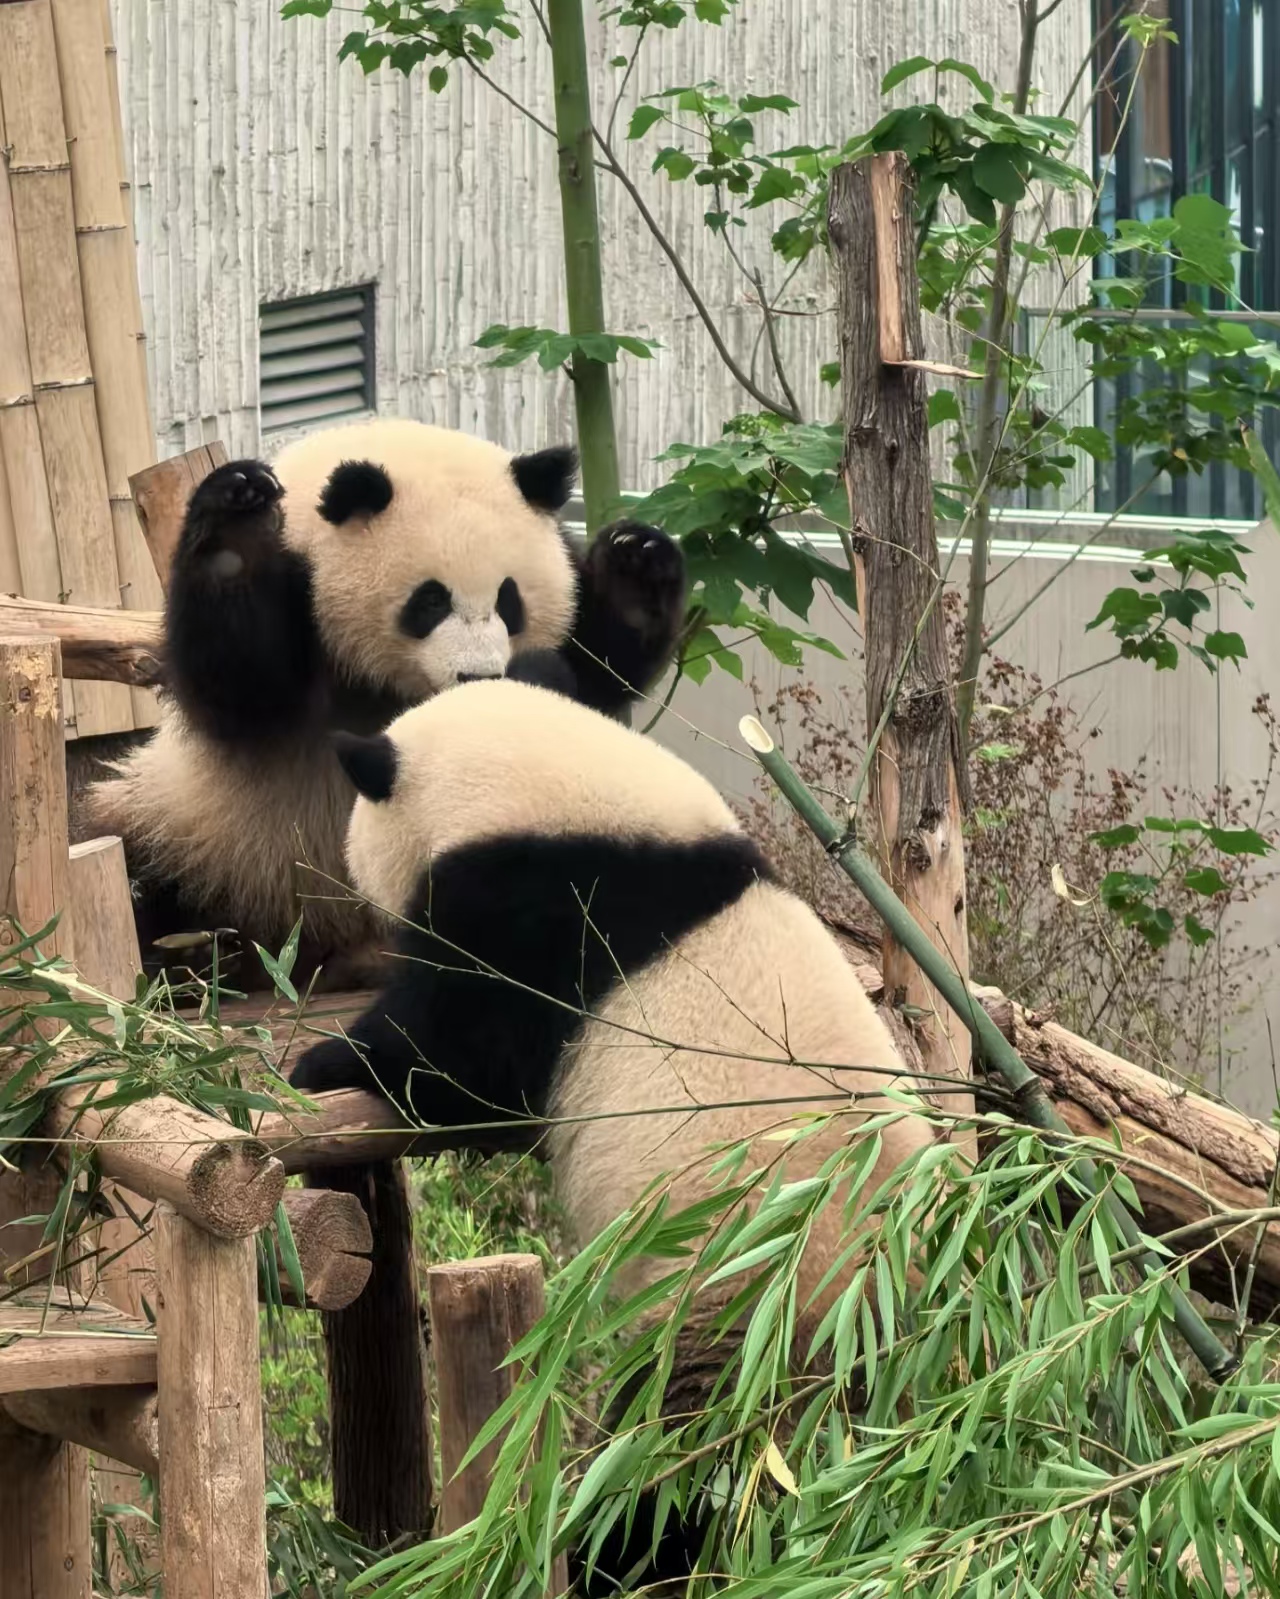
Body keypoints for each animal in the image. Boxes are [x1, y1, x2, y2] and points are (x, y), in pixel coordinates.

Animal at [83, 419, 686, 991]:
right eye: (430, 600)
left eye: (508, 600)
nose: (478, 675)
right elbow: (238, 683)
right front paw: (241, 501)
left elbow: (593, 674)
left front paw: (637, 561)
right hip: (195, 834)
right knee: (135, 861)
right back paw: (187, 954)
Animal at [288, 669, 937, 1590]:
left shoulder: (541, 910)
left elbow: (464, 1054)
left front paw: (324, 1060)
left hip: (738, 1320)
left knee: (670, 1475)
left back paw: (608, 1556)